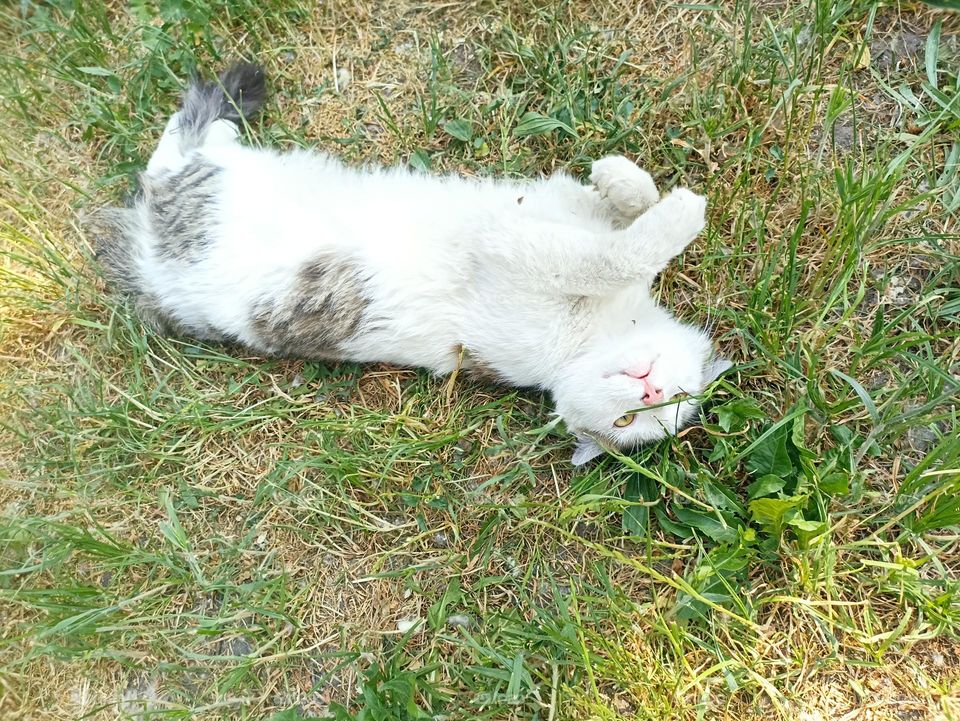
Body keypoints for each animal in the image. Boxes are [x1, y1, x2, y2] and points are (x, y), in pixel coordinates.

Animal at [94, 63, 732, 466]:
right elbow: (626, 222)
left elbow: (617, 247)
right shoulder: (539, 224)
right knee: (182, 146)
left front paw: (660, 204)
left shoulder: (524, 243)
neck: (603, 327)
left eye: (647, 419)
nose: (649, 392)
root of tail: (148, 265)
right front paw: (632, 183)